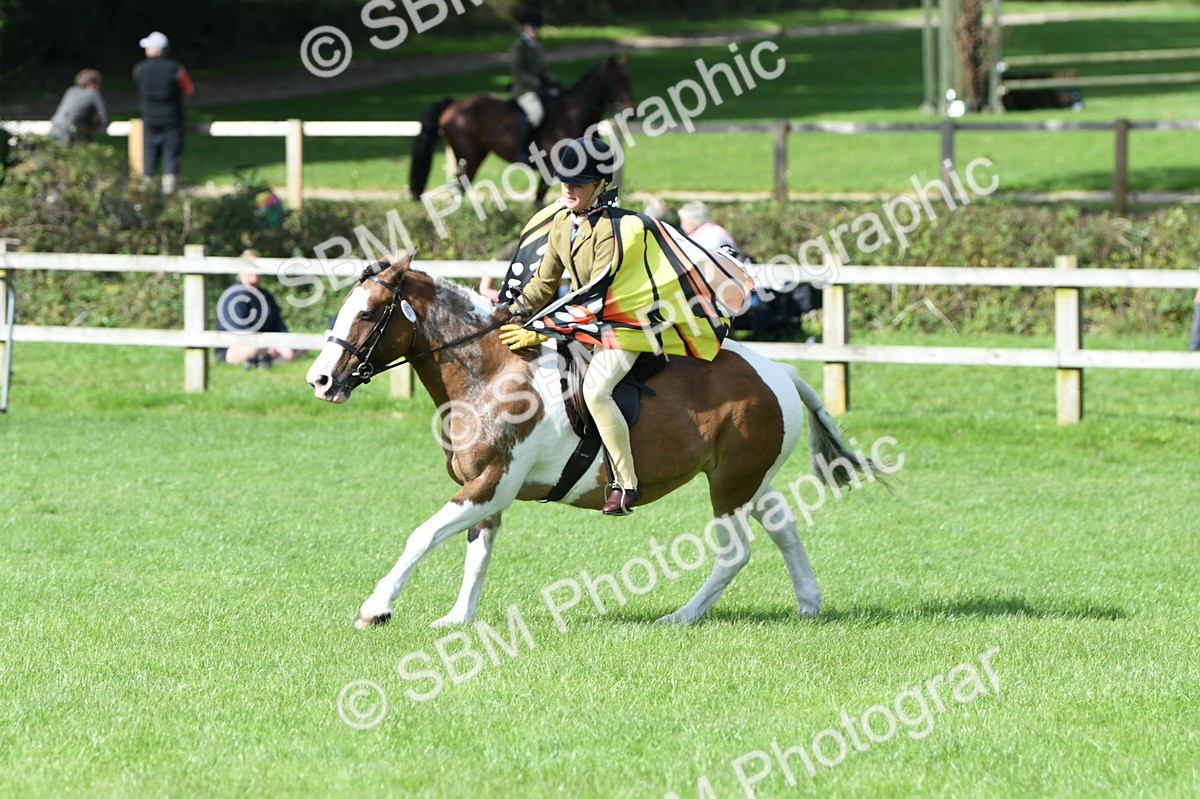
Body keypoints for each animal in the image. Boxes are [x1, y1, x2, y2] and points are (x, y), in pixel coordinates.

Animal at [305, 253, 892, 629]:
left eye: (365, 313)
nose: (320, 380)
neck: (491, 374)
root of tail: (779, 371)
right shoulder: (487, 490)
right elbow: (477, 553)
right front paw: (458, 618)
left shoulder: (493, 483)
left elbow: (422, 536)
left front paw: (377, 607)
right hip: (749, 478)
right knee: (784, 531)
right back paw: (808, 604)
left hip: (728, 486)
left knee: (735, 553)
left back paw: (680, 616)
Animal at [408, 56, 636, 201]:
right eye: (616, 81)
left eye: (629, 80)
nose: (631, 110)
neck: (572, 114)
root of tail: (454, 104)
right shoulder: (552, 169)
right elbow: (539, 200)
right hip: (469, 157)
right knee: (460, 187)